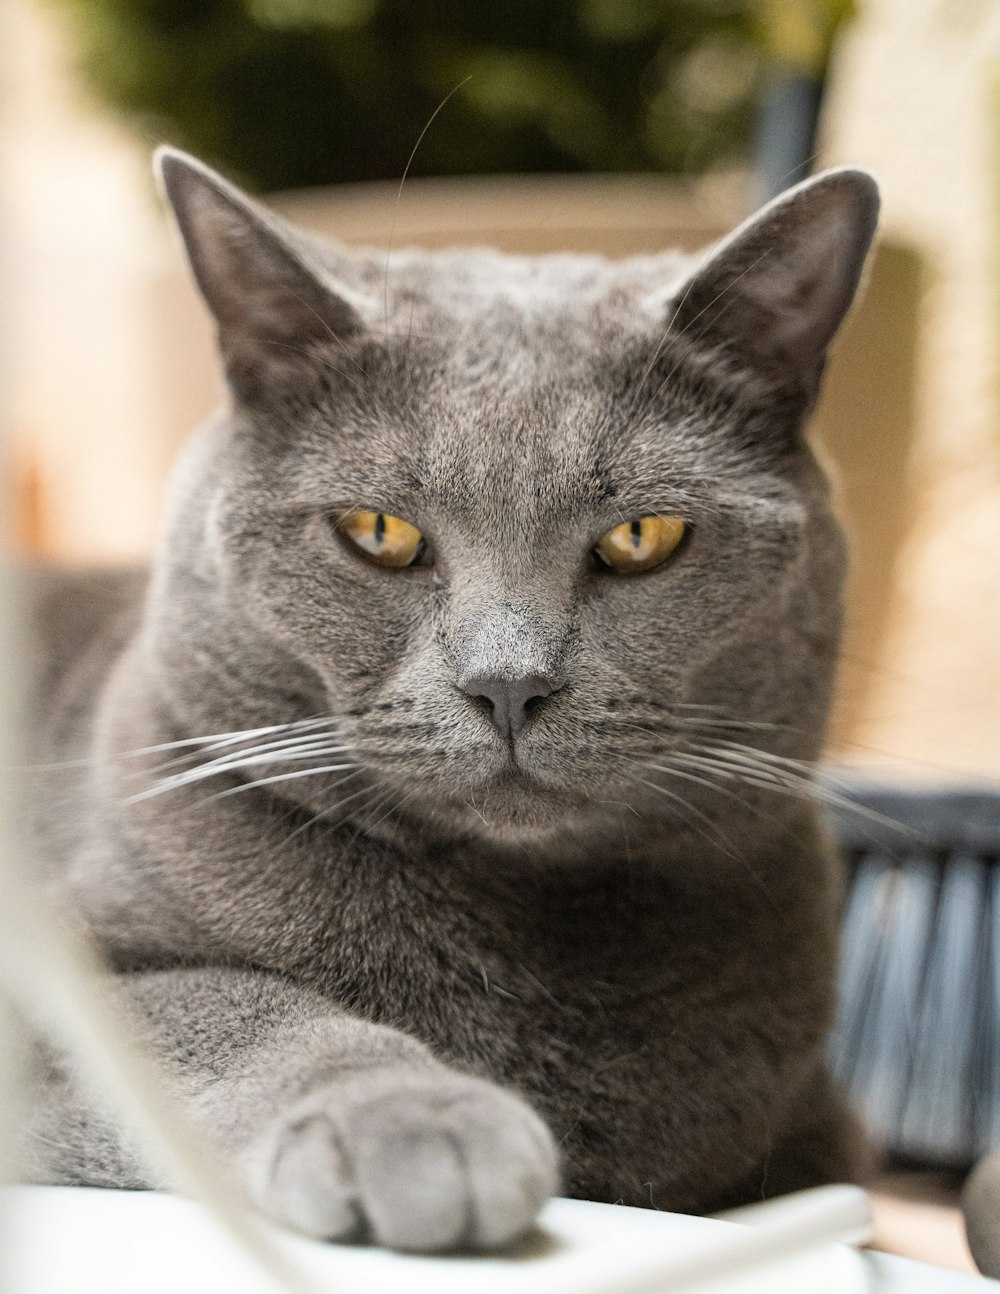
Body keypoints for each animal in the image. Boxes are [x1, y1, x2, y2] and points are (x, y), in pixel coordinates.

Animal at [23, 151, 879, 1252]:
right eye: (378, 532)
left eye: (641, 537)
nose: (508, 680)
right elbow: (230, 1005)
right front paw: (418, 1126)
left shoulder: (827, 1128)